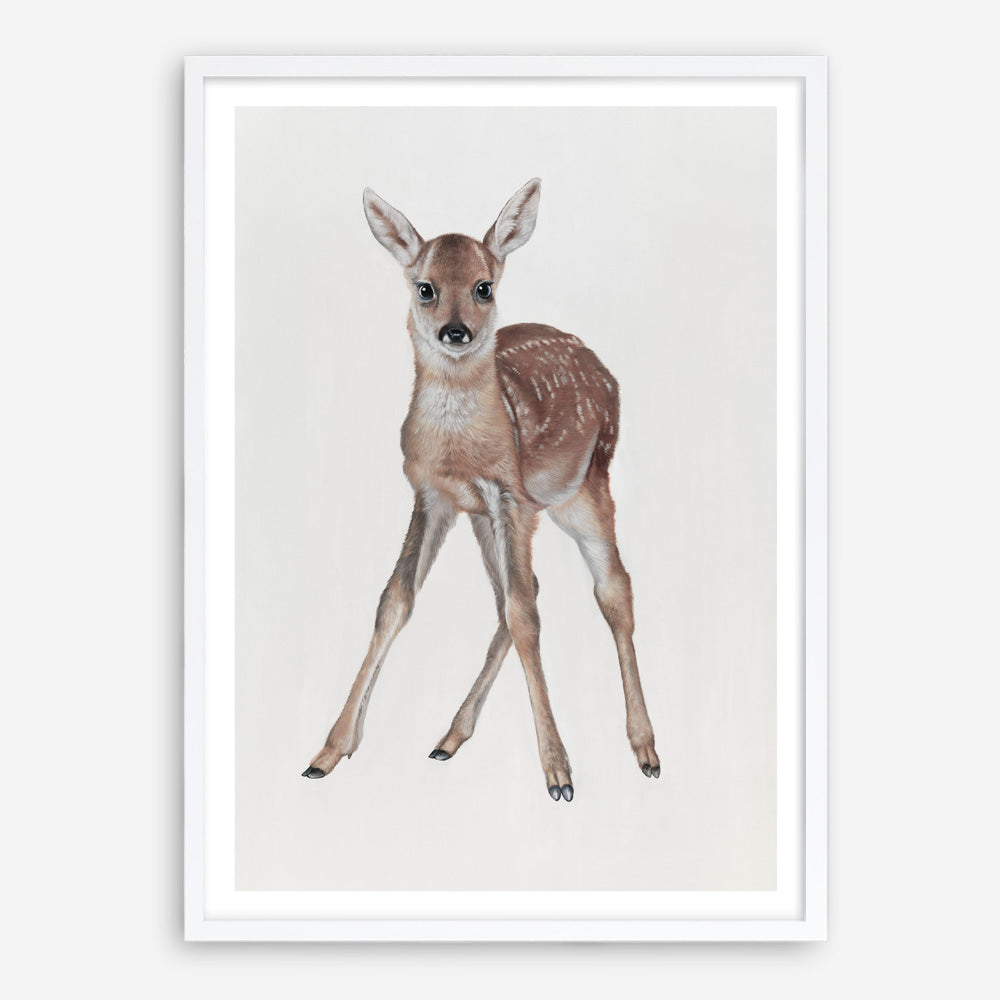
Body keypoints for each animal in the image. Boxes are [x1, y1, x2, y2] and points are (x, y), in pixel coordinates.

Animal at [302, 179, 659, 802]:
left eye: (483, 287)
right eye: (425, 288)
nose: (456, 331)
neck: (460, 447)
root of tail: (606, 371)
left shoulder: (510, 495)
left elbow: (525, 616)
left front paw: (559, 773)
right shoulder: (434, 496)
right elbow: (396, 600)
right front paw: (329, 750)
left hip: (585, 489)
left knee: (612, 589)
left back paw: (645, 749)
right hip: (489, 518)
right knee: (521, 592)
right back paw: (449, 737)